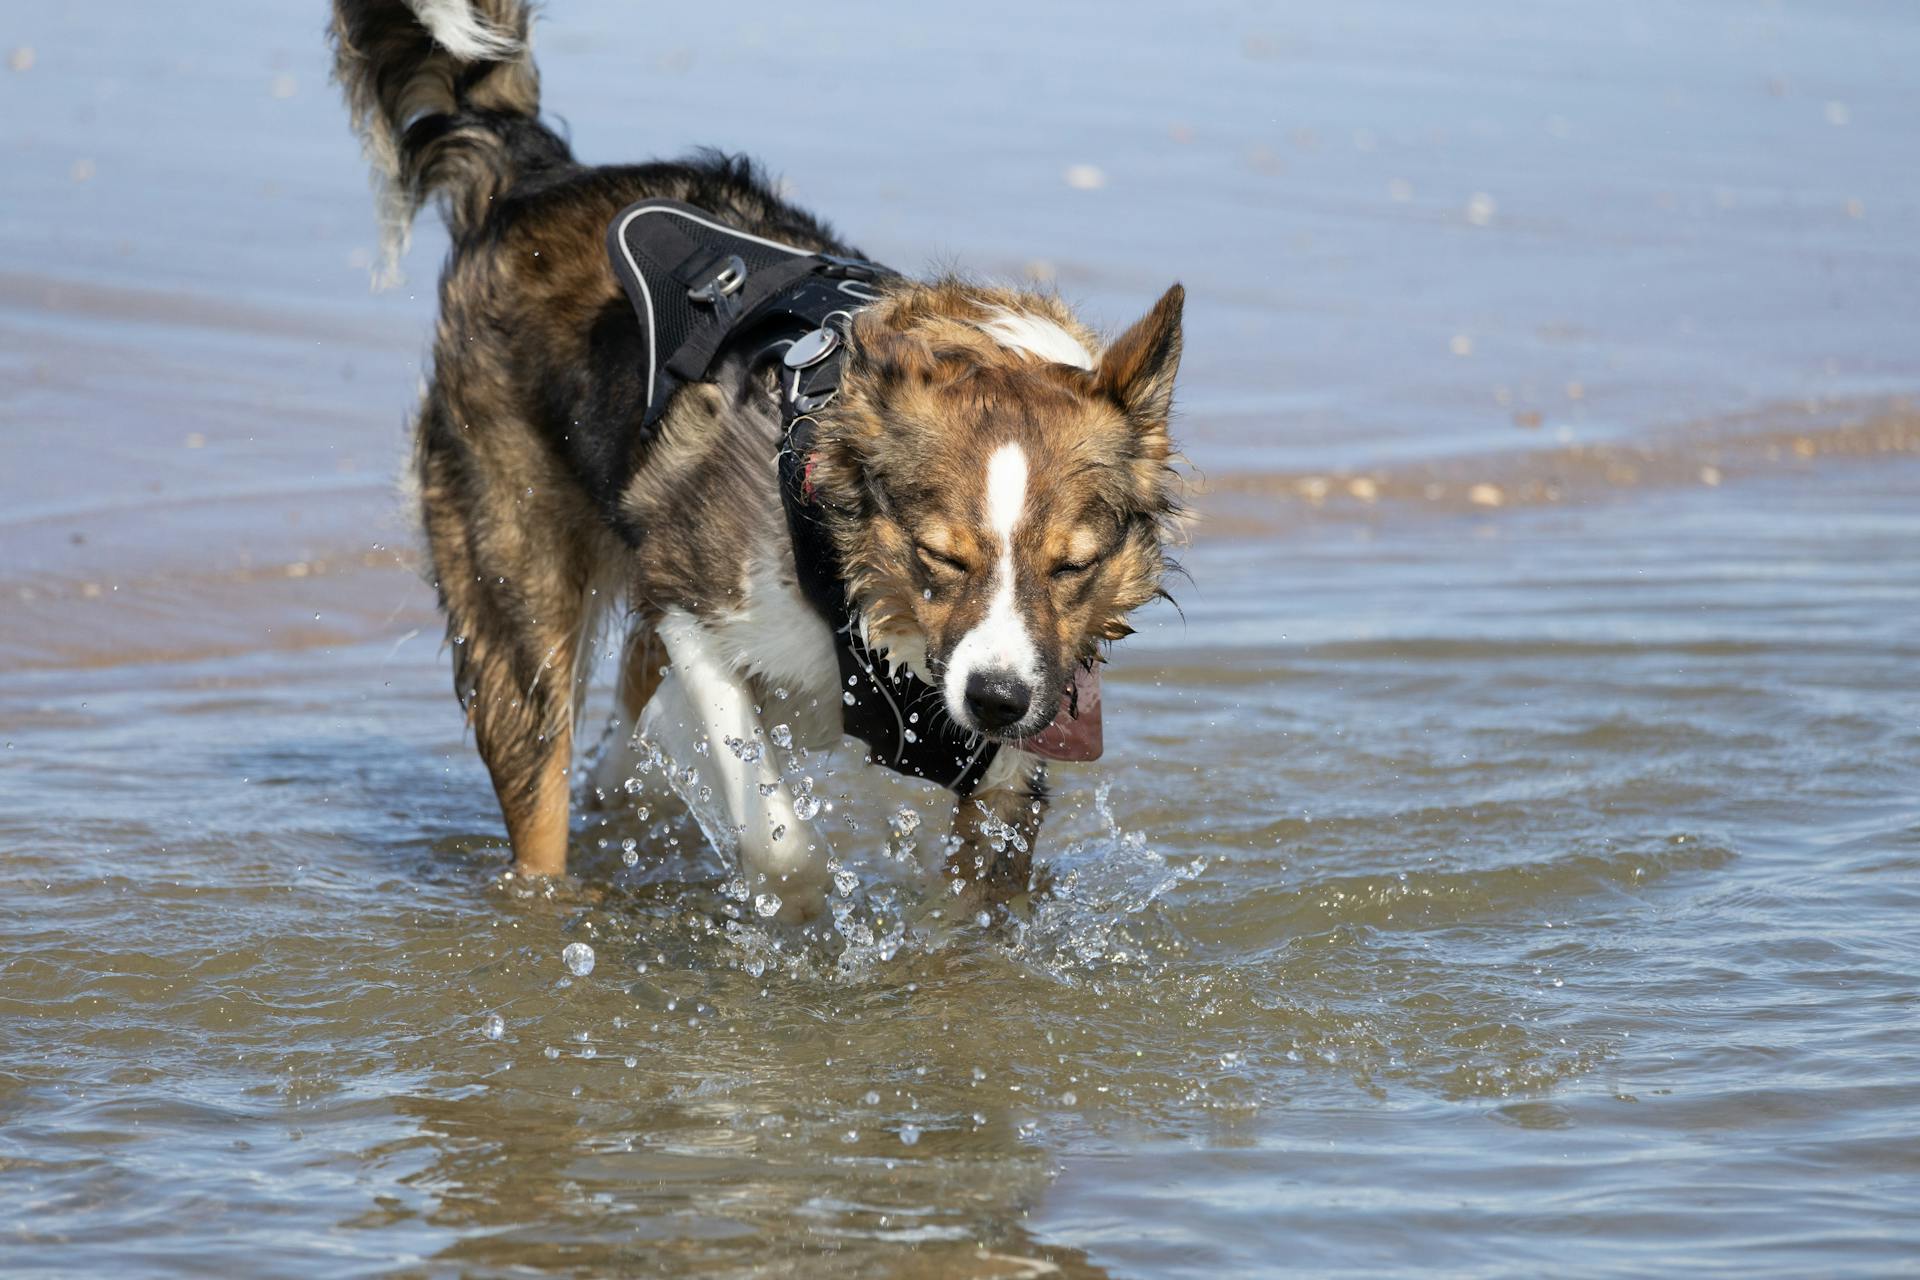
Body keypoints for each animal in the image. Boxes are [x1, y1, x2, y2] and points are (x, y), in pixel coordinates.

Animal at [330, 0, 1182, 921]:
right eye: (941, 556)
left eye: (1074, 566)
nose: (995, 700)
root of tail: (534, 179)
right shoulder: (693, 597)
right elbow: (782, 847)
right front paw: (799, 914)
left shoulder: (1017, 743)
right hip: (517, 585)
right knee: (546, 781)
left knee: (620, 760)